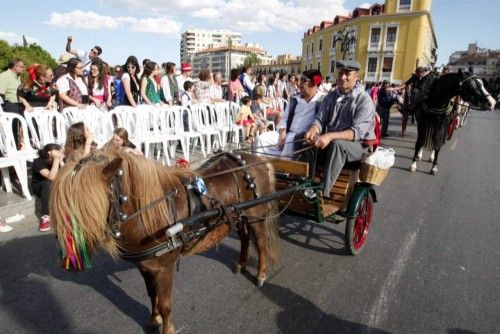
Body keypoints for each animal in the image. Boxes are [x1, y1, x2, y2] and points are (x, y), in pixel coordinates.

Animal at [50, 149, 280, 334]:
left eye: (86, 206)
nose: (68, 261)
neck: (151, 213)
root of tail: (258, 159)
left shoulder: (165, 268)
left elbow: (165, 304)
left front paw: (167, 328)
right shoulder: (145, 266)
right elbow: (152, 295)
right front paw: (154, 320)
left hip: (256, 214)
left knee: (260, 242)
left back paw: (261, 274)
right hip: (239, 215)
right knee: (244, 237)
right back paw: (241, 263)